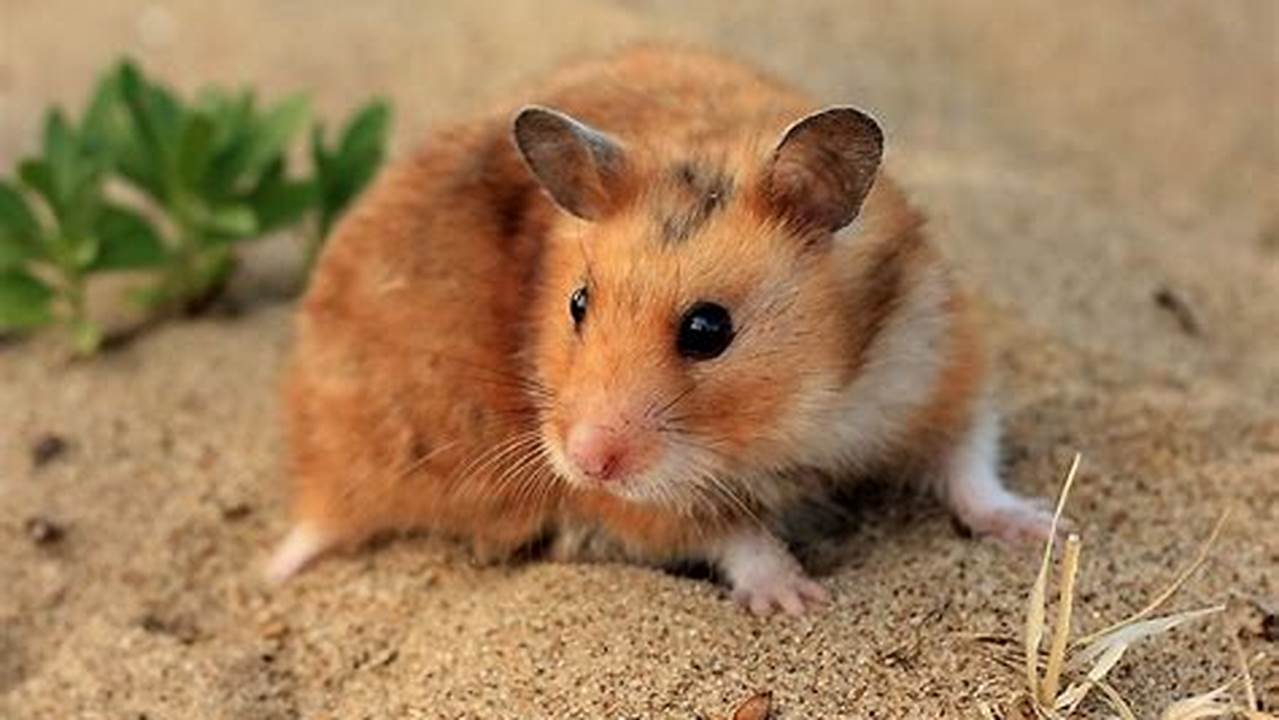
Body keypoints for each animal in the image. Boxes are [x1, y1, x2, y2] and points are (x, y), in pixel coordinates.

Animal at [268, 46, 1053, 616]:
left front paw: (1045, 529)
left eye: (709, 328)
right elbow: (736, 534)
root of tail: (312, 472)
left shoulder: (938, 365)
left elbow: (970, 464)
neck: (802, 415)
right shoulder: (636, 508)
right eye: (577, 303)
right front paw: (797, 602)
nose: (584, 462)